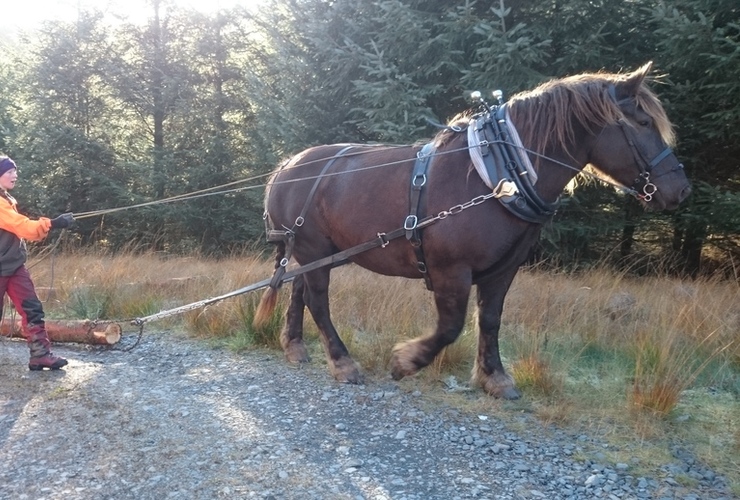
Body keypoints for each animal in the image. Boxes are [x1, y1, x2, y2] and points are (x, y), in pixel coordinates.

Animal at [256, 62, 692, 398]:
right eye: (642, 122)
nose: (680, 189)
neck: (497, 176)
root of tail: (285, 166)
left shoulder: (503, 270)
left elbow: (491, 320)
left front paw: (494, 377)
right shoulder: (451, 270)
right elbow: (451, 327)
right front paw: (406, 361)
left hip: (313, 251)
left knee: (299, 291)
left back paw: (295, 346)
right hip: (313, 249)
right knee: (318, 301)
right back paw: (343, 362)